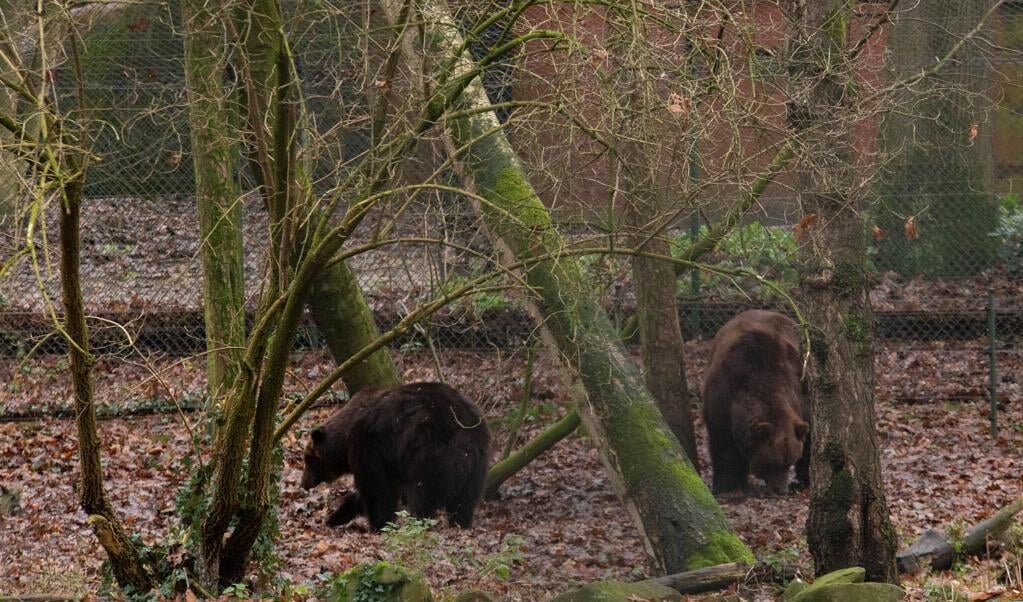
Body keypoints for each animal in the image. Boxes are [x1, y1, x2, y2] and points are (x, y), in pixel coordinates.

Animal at [298, 382, 491, 528]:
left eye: (308, 460)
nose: (304, 483)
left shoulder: (371, 448)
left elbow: (377, 490)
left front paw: (379, 524)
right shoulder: (391, 461)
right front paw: (336, 516)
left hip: (430, 453)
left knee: (424, 494)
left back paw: (419, 521)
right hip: (478, 464)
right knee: (465, 499)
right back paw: (461, 524)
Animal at [699, 307, 810, 495]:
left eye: (790, 460)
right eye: (773, 463)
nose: (782, 490)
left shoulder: (798, 387)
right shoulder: (721, 400)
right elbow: (723, 447)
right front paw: (728, 485)